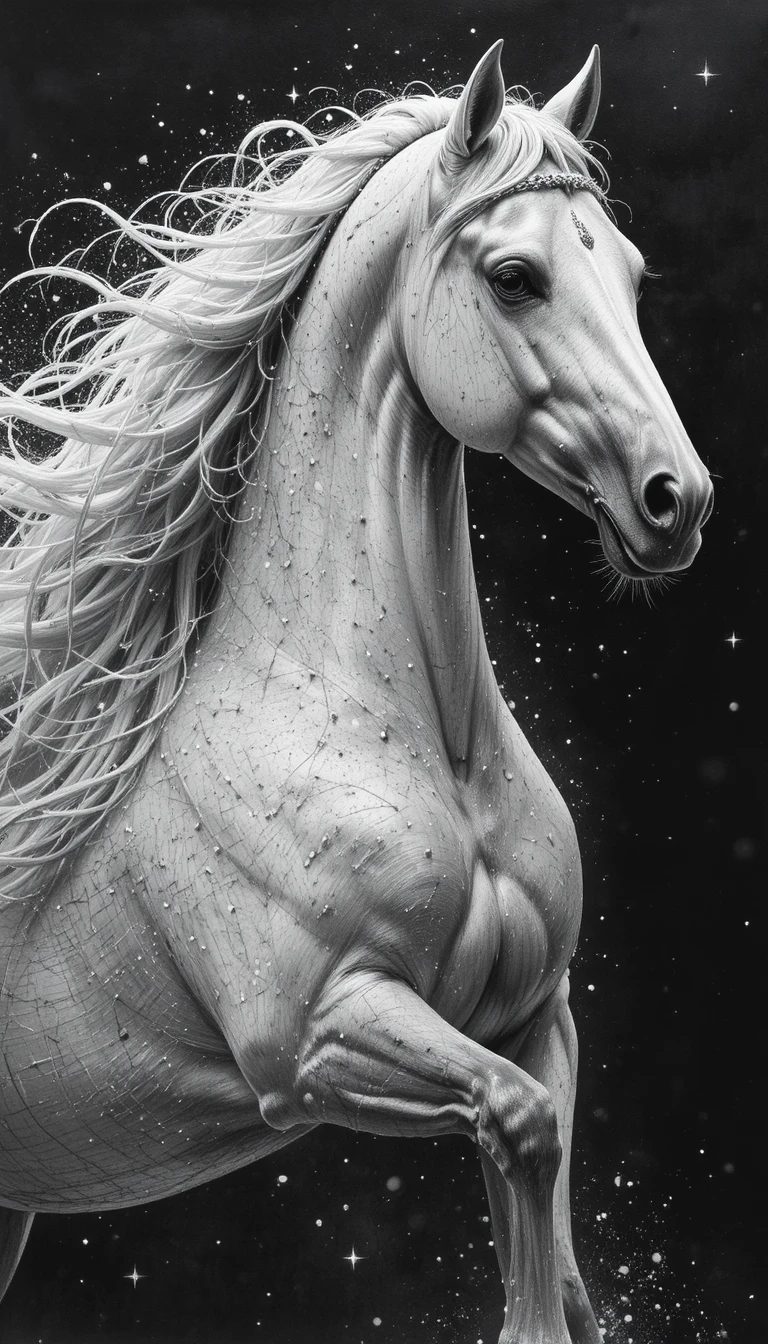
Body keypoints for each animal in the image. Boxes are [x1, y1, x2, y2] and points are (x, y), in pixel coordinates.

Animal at [0, 40, 712, 1343]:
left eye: (633, 276)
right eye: (516, 276)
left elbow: (548, 1214)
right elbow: (523, 1127)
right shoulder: (317, 1041)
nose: (673, 499)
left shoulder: (538, 1017)